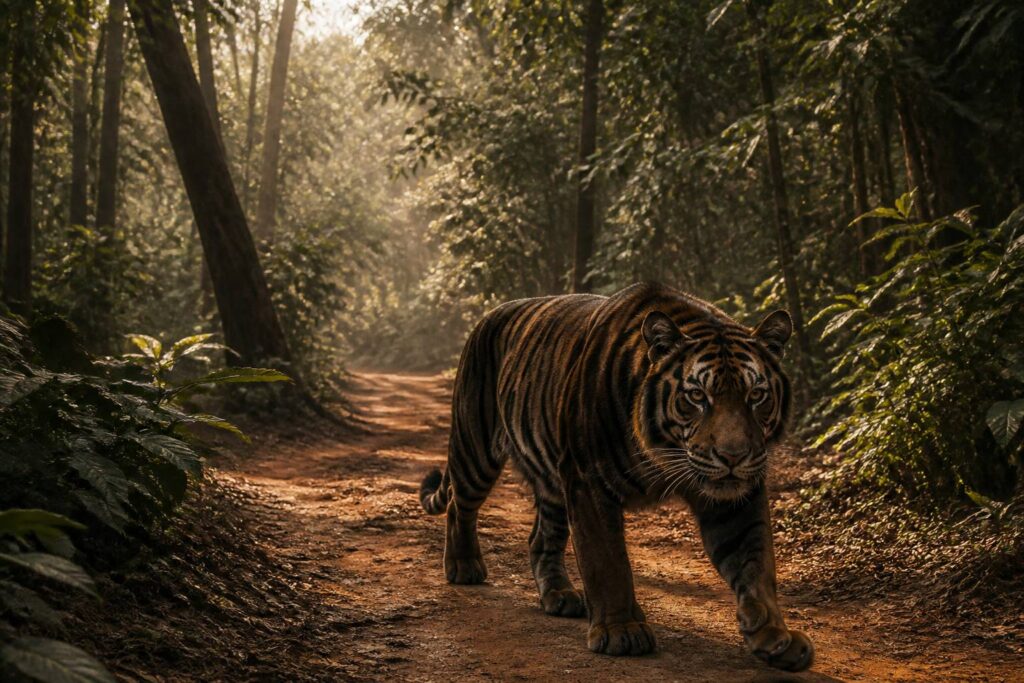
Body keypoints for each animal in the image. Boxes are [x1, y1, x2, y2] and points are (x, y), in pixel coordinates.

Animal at [419, 282, 814, 672]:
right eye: (697, 396)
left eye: (757, 395)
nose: (733, 456)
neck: (663, 453)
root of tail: (488, 316)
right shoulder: (588, 481)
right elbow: (607, 562)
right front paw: (620, 630)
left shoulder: (736, 498)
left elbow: (755, 563)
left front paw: (774, 637)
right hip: (476, 447)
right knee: (459, 506)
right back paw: (464, 567)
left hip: (551, 483)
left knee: (540, 537)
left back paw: (559, 595)